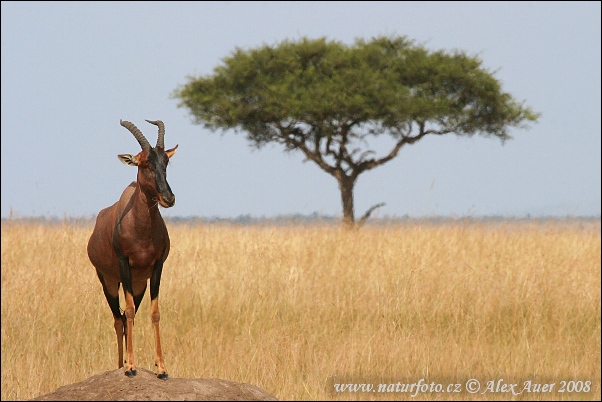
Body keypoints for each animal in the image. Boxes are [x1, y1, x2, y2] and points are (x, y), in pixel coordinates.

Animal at [86, 118, 177, 378]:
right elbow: (125, 313)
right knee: (119, 319)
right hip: (108, 280)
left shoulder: (157, 268)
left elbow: (154, 313)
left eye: (166, 162)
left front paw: (162, 368)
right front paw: (130, 367)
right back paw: (121, 364)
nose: (168, 198)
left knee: (131, 316)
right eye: (145, 163)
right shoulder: (123, 265)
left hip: (138, 285)